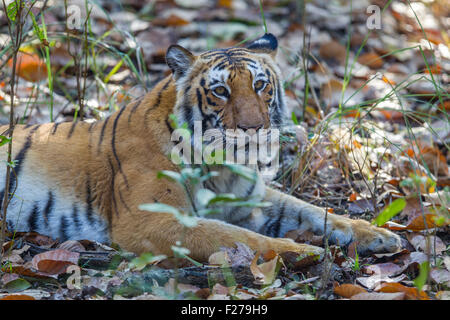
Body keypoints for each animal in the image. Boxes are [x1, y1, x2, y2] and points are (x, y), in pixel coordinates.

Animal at [0, 33, 400, 262]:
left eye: (260, 85)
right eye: (221, 91)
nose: (253, 129)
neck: (224, 166)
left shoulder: (251, 199)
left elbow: (315, 211)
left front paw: (379, 235)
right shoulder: (153, 220)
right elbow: (237, 238)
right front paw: (307, 251)